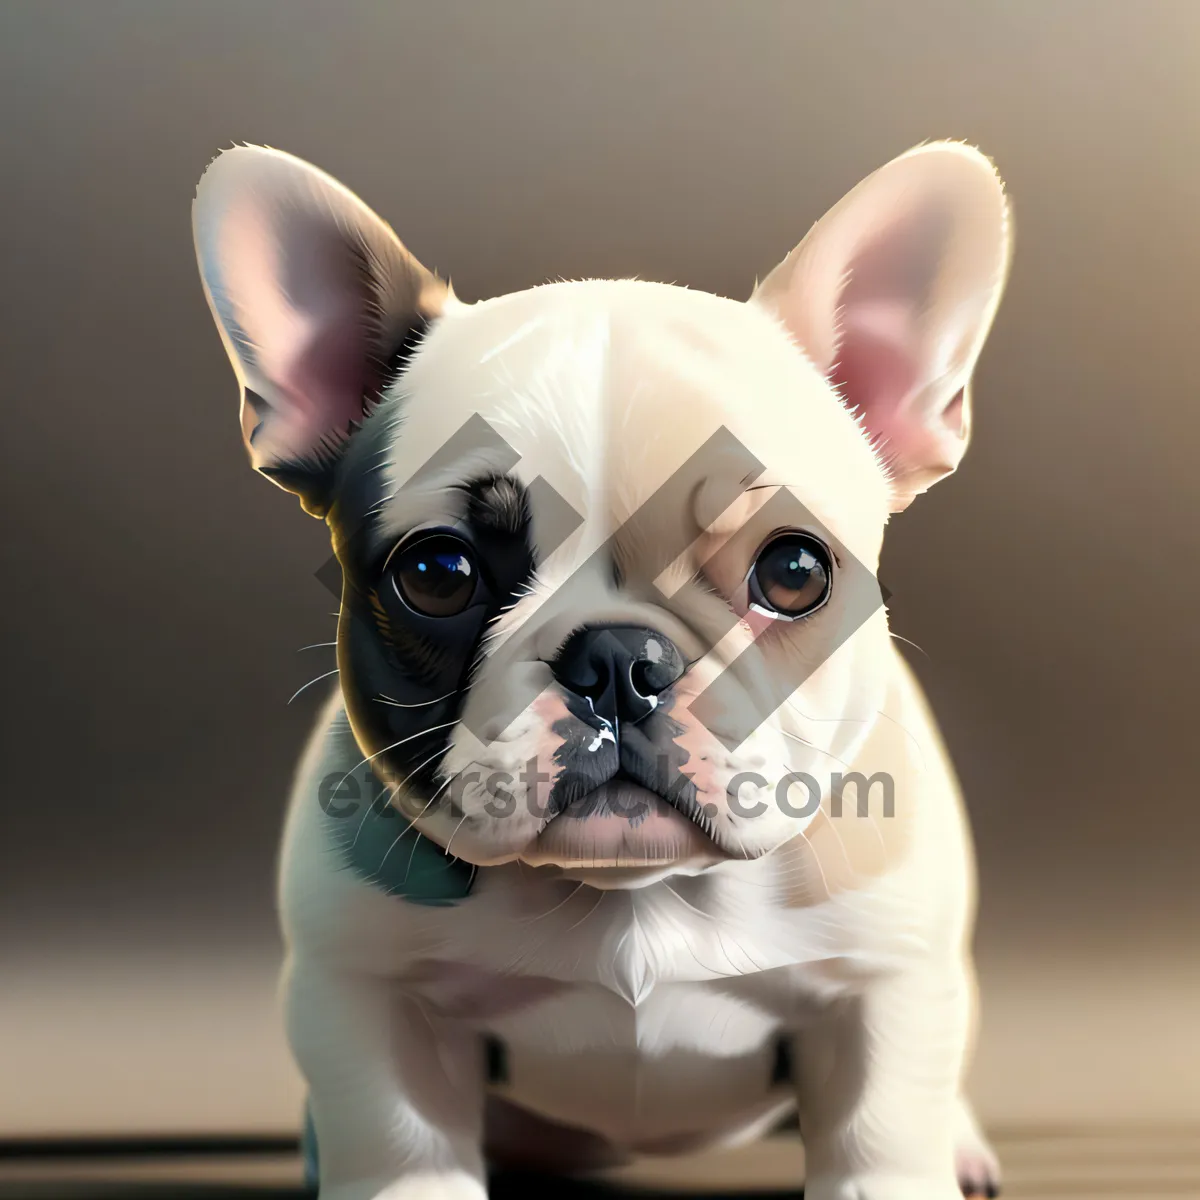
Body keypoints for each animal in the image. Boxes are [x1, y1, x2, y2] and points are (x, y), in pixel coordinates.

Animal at [194, 142, 1012, 1200]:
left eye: (793, 571)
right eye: (438, 574)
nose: (620, 659)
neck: (633, 894)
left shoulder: (883, 984)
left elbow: (879, 1135)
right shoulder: (369, 993)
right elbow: (400, 1143)